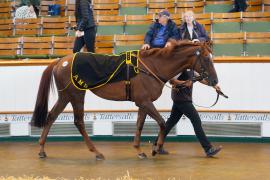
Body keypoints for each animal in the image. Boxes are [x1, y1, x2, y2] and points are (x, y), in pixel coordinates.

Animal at [31, 40, 217, 160]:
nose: (215, 81)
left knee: (51, 116)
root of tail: (60, 61)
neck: (153, 66)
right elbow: (163, 123)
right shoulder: (145, 102)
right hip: (76, 95)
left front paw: (140, 150)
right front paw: (156, 148)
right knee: (79, 122)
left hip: (65, 96)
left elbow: (140, 125)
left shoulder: (143, 103)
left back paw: (41, 150)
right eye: (206, 58)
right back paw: (96, 152)